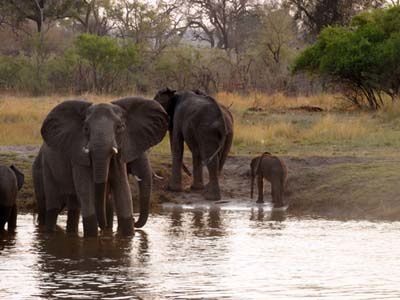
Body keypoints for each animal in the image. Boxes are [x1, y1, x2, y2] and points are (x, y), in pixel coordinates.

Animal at [32, 96, 167, 237]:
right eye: (86, 128)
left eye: (120, 127)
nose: (135, 222)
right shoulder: (79, 156)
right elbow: (86, 189)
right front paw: (93, 237)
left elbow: (123, 189)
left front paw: (126, 235)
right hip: (44, 167)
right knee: (53, 205)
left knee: (73, 205)